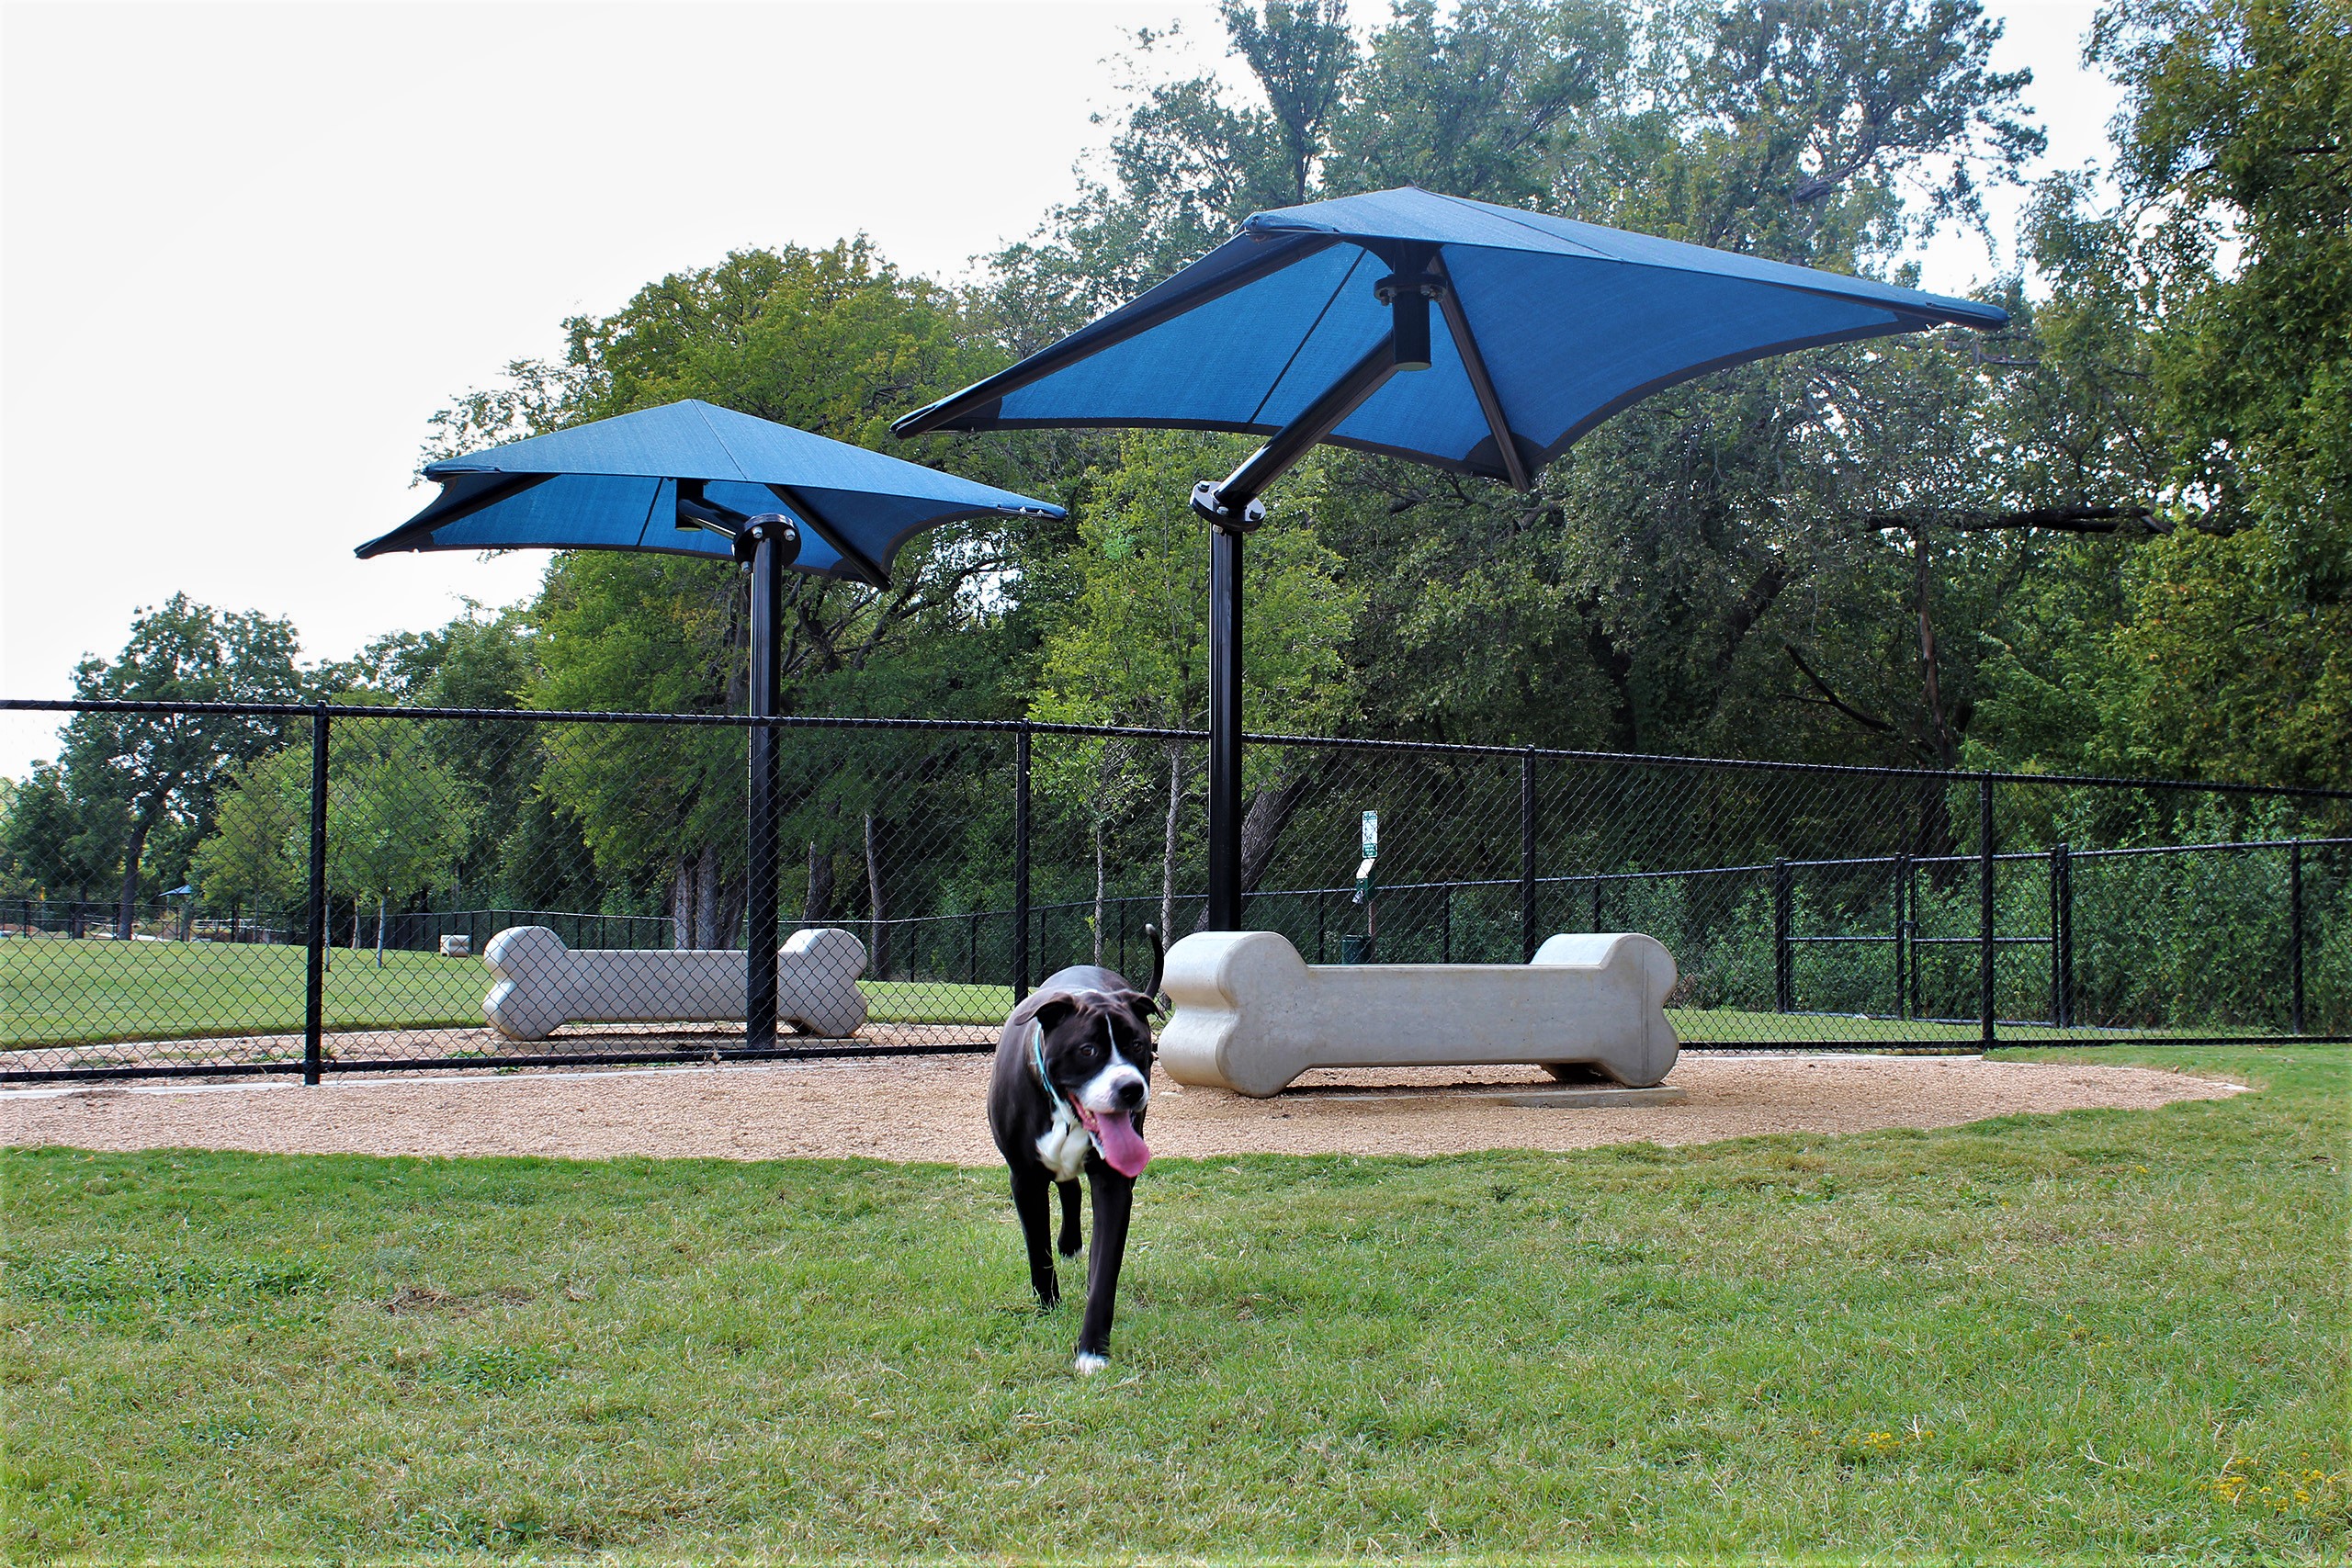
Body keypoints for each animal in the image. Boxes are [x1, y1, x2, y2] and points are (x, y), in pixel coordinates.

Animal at [988, 931, 1161, 1372]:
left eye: (1138, 1044)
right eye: (1087, 1050)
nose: (1130, 1089)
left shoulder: (1115, 1182)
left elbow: (1106, 1271)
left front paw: (1092, 1349)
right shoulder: (1024, 1178)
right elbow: (1037, 1248)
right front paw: (1048, 1303)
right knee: (1068, 1188)